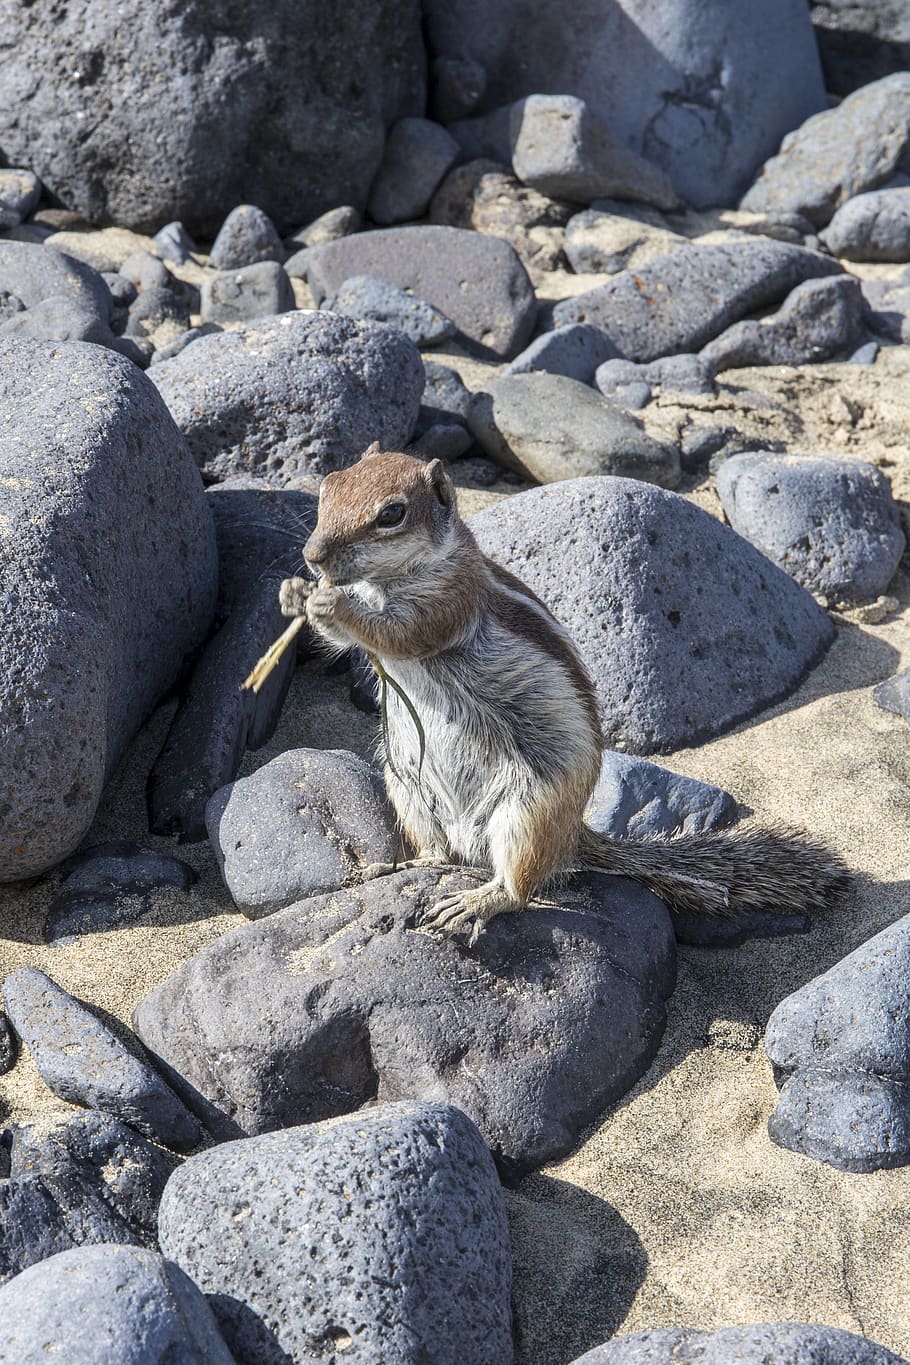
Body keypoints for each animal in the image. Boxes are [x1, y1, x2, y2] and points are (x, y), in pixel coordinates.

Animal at [279, 443, 849, 945]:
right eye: (329, 485)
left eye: (392, 514)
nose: (312, 556)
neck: (391, 580)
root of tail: (574, 834)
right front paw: (294, 593)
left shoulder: (448, 602)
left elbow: (397, 634)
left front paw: (331, 604)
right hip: (407, 788)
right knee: (444, 856)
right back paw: (397, 864)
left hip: (528, 809)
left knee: (520, 885)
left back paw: (479, 900)